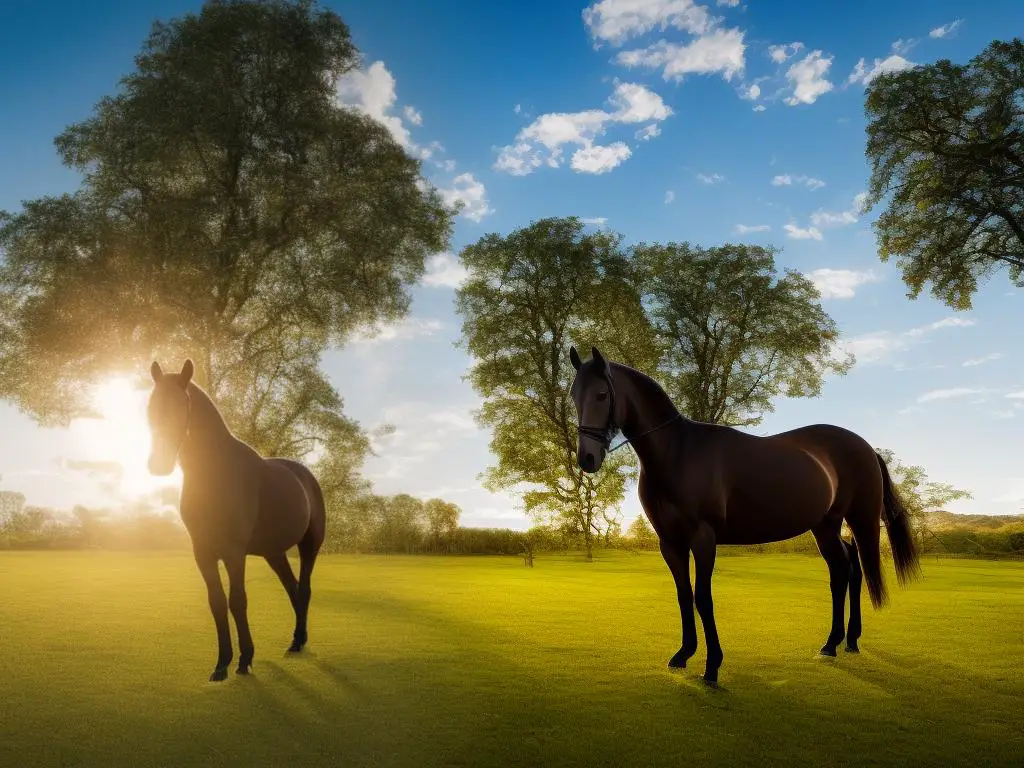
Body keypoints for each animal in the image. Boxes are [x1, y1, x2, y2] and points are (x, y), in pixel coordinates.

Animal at [145, 358, 323, 684]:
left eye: (182, 406)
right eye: (151, 406)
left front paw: (244, 660)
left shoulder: (233, 552)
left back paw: (297, 642)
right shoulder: (202, 553)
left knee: (303, 589)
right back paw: (297, 641)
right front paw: (221, 664)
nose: (159, 465)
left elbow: (237, 600)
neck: (216, 472)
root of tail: (305, 475)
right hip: (274, 553)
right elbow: (216, 602)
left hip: (310, 545)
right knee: (292, 588)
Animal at [569, 348, 921, 684]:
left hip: (860, 520)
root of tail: (866, 447)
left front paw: (711, 667)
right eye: (574, 394)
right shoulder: (670, 543)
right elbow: (684, 596)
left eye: (601, 394)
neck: (678, 452)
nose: (587, 458)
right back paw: (838, 643)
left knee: (851, 567)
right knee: (844, 568)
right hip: (825, 525)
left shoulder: (703, 538)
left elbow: (702, 598)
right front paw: (683, 655)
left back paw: (844, 641)